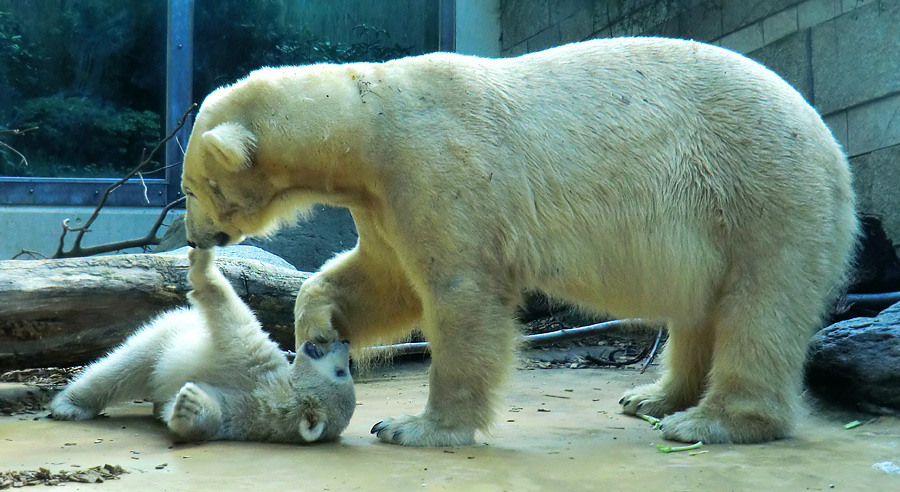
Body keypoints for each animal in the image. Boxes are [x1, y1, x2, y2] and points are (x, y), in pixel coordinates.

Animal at [181, 37, 856, 446]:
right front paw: (318, 326)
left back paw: (710, 421)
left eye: (190, 188)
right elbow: (384, 279)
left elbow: (459, 290)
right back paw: (652, 397)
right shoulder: (384, 196)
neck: (366, 120)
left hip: (760, 190)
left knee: (761, 307)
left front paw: (414, 426)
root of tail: (832, 150)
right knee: (698, 310)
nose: (195, 236)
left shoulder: (434, 163)